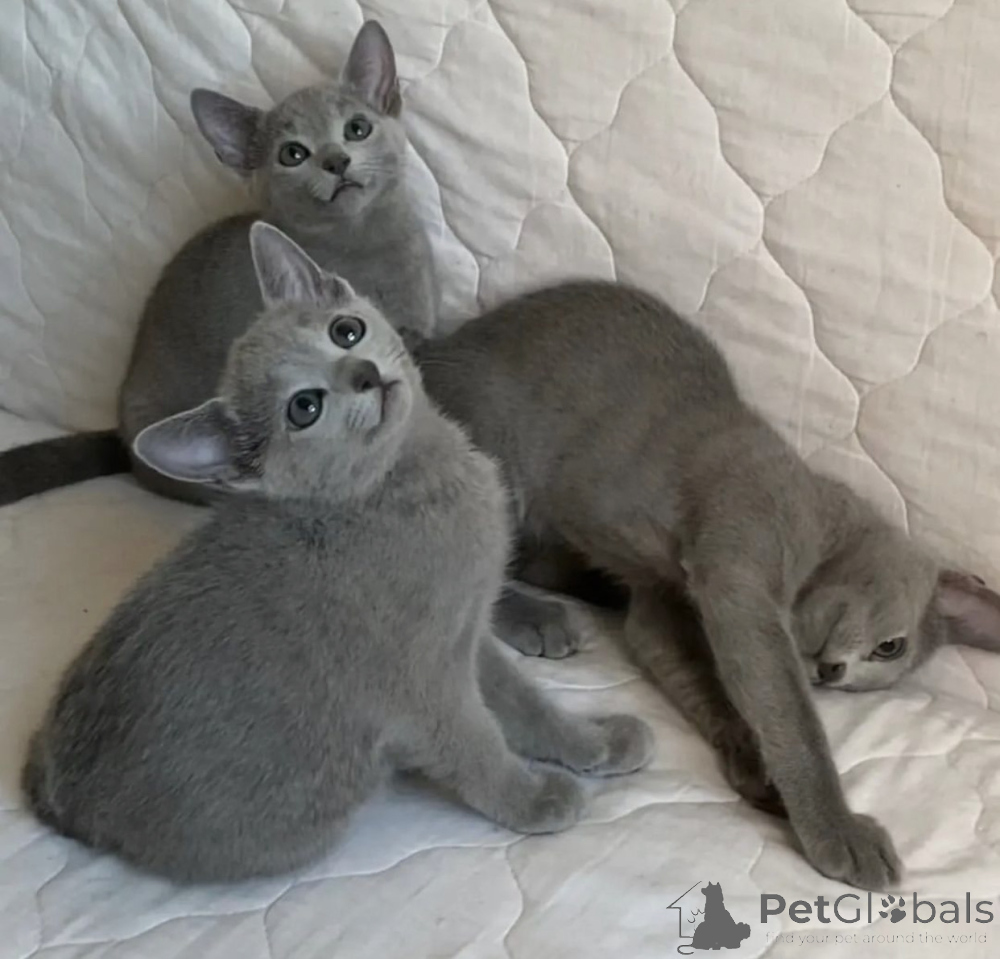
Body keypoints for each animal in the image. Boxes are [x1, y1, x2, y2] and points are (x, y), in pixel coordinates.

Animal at [20, 226, 653, 883]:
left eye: (345, 331)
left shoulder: (466, 634)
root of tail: (55, 788)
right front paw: (533, 798)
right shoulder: (424, 683)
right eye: (305, 408)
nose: (363, 372)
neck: (412, 483)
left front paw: (594, 742)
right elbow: (474, 744)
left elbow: (524, 700)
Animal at [411, 280, 1000, 889]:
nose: (831, 674)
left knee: (529, 561)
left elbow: (707, 683)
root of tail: (435, 349)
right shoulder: (742, 581)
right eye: (890, 646)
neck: (822, 525)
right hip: (495, 461)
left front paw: (755, 765)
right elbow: (791, 715)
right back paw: (541, 615)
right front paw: (838, 830)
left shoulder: (665, 607)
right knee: (477, 568)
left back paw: (590, 585)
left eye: (879, 663)